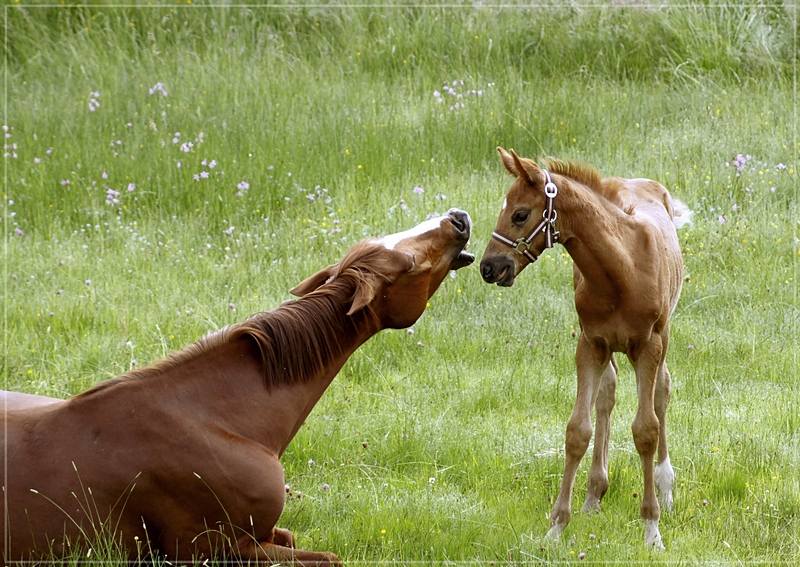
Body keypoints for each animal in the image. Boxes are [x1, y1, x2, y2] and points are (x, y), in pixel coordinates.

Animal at [1, 210, 476, 567]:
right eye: (407, 266)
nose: (457, 218)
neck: (217, 419)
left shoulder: (262, 536)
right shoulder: (217, 551)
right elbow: (330, 558)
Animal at [478, 149, 692, 548]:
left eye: (520, 214)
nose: (489, 266)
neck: (621, 271)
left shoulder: (648, 346)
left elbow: (646, 430)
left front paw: (652, 530)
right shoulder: (590, 344)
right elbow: (578, 430)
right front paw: (556, 527)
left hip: (664, 336)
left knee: (662, 391)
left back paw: (665, 487)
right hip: (609, 349)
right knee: (608, 393)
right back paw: (594, 494)